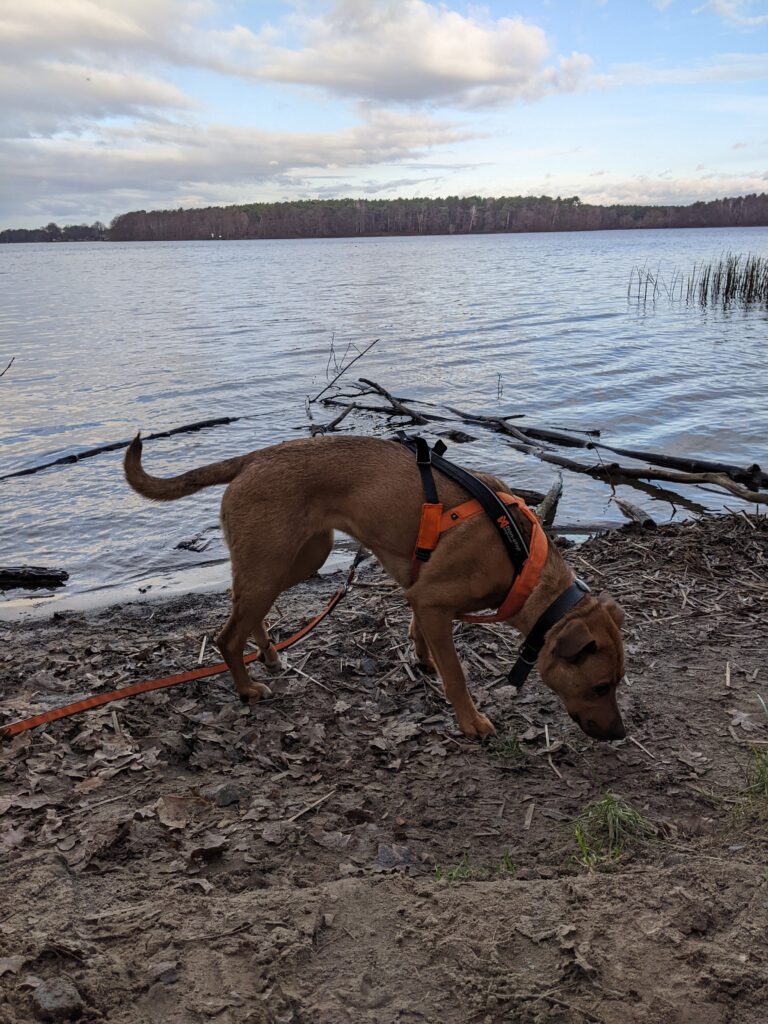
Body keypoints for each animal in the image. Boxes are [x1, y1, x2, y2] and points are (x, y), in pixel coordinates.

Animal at [123, 436, 626, 741]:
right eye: (600, 686)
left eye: (616, 684)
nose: (619, 734)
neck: (521, 559)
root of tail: (255, 457)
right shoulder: (432, 598)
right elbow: (457, 675)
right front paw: (470, 721)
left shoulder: (421, 594)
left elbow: (421, 634)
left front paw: (422, 659)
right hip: (272, 565)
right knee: (227, 635)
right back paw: (247, 688)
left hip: (299, 559)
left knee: (243, 608)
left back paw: (267, 653)